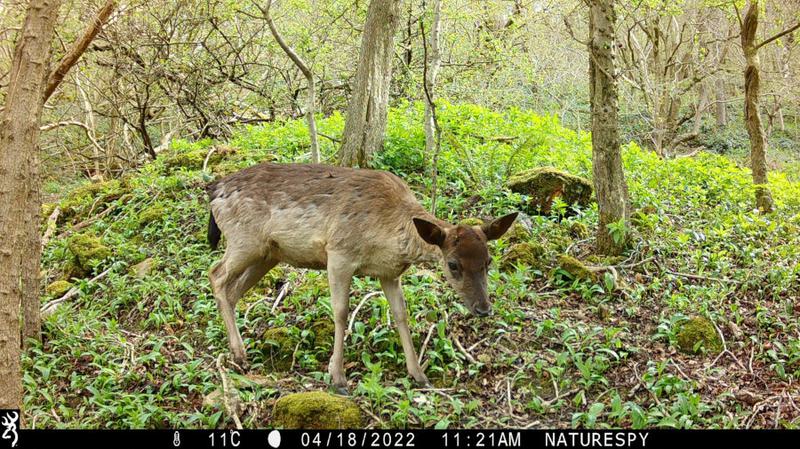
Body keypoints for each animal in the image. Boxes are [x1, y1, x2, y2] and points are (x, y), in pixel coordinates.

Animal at [206, 163, 517, 394]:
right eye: (453, 264)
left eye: (488, 262)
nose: (484, 309)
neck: (388, 235)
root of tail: (214, 191)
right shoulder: (338, 253)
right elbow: (341, 312)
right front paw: (337, 377)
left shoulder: (389, 273)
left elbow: (401, 314)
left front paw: (418, 374)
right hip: (244, 239)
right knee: (216, 275)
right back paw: (239, 354)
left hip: (268, 253)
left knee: (233, 290)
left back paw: (239, 350)